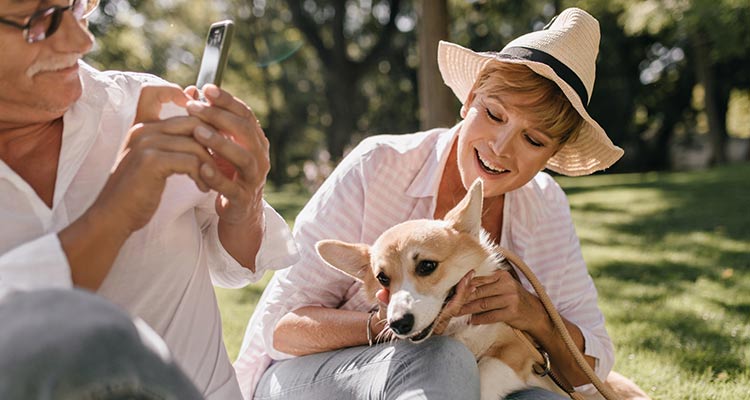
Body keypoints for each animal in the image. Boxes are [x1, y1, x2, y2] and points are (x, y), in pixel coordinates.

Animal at [318, 180, 568, 398]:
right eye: (382, 278)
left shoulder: (516, 349)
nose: (399, 324)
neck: (459, 328)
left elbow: (486, 373)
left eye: (427, 266)